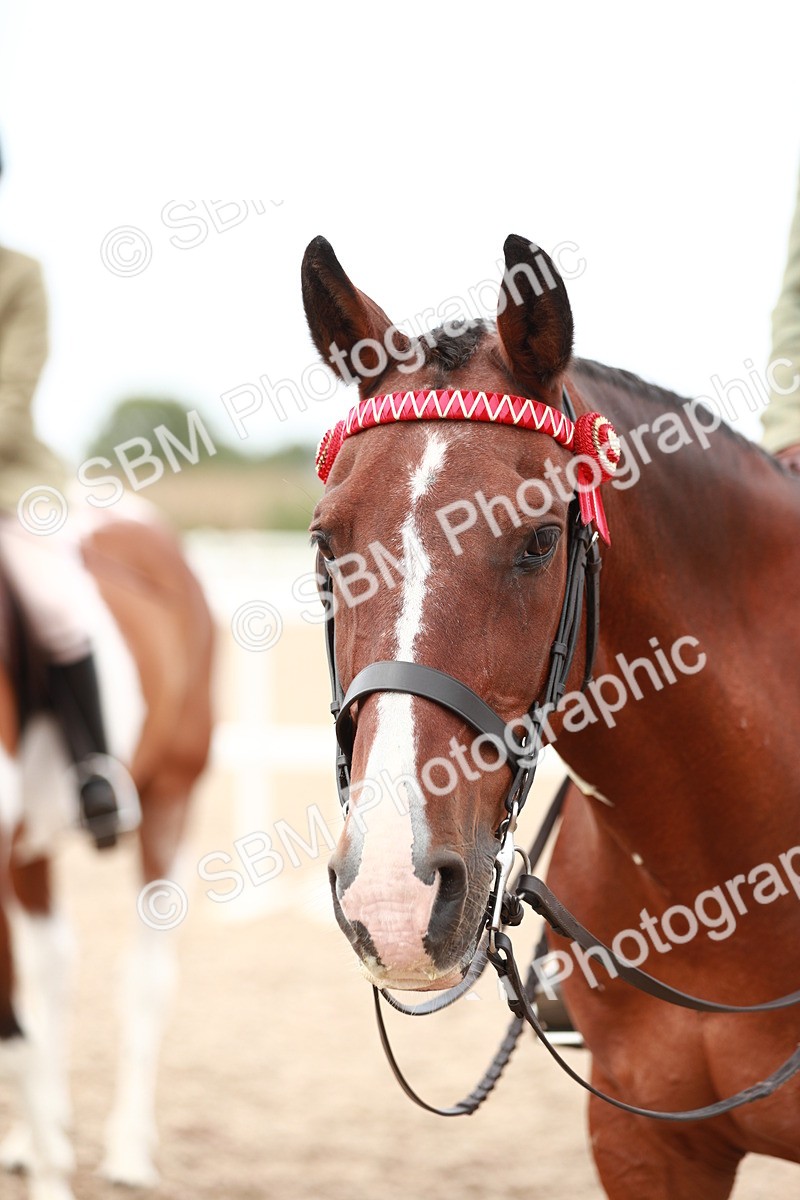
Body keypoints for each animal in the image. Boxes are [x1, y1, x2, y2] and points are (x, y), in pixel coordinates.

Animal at [0, 507, 213, 1200]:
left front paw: (51, 1180)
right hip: (28, 854)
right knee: (53, 965)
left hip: (170, 801)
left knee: (146, 978)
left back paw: (127, 1150)